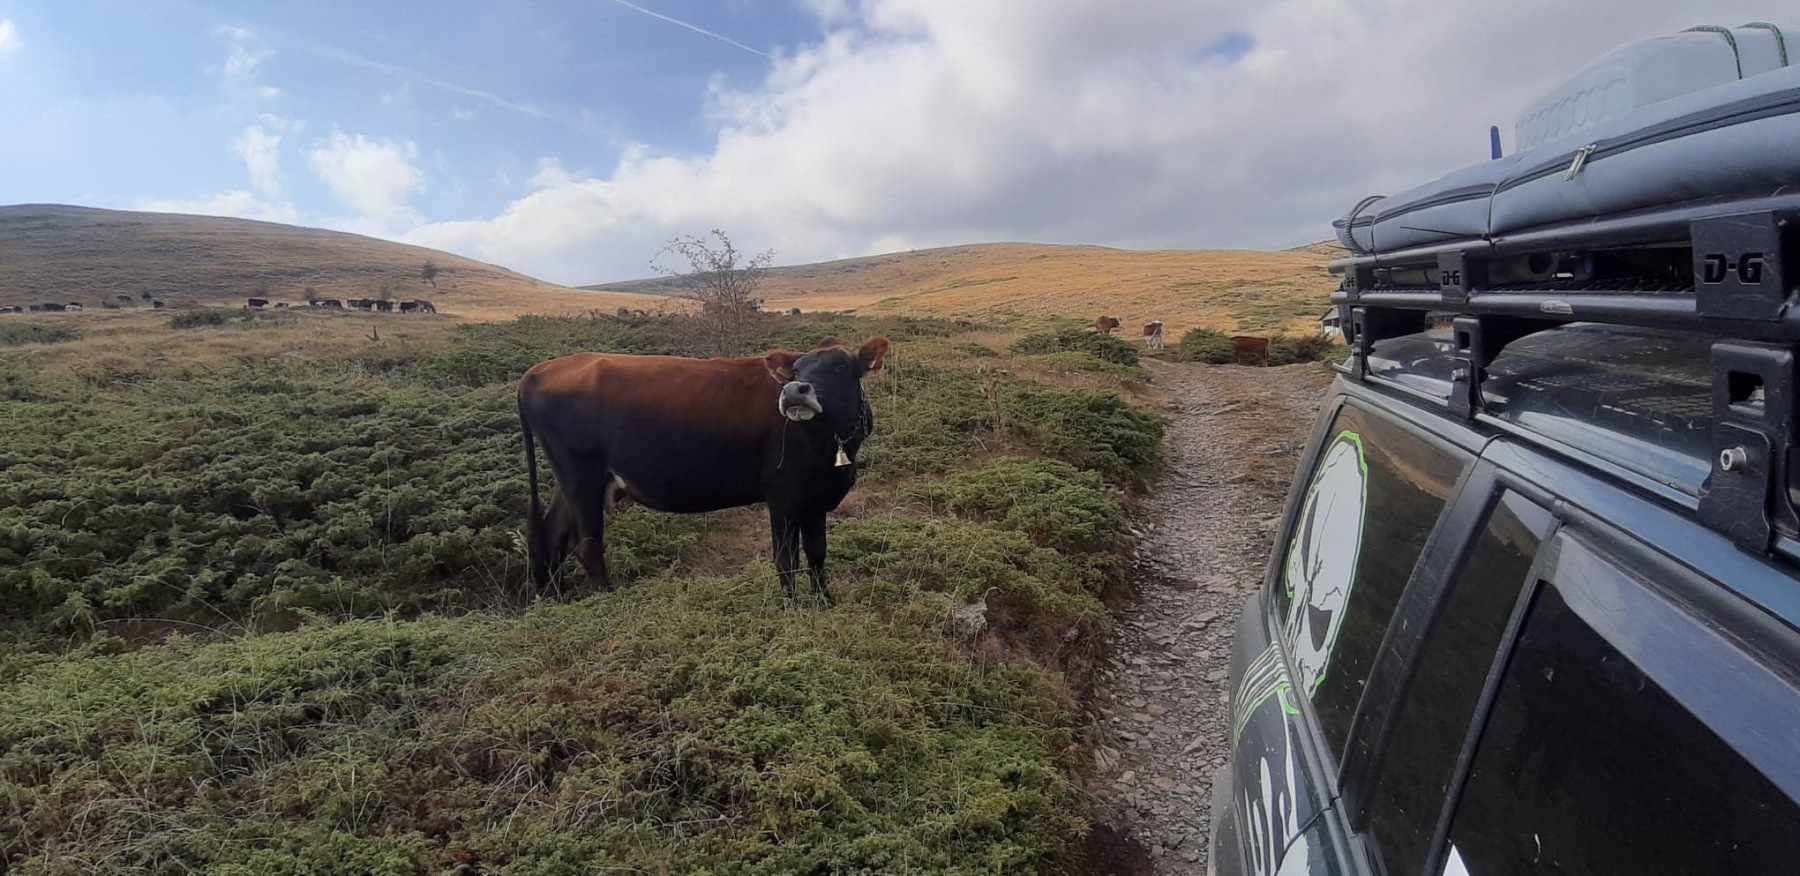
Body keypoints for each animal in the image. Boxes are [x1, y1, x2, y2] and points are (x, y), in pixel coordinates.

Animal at [518, 336, 889, 603]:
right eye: (795, 371)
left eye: (841, 366)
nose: (793, 391)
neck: (829, 448)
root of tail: (536, 371)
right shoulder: (782, 496)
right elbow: (786, 559)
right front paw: (792, 607)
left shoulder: (815, 498)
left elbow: (816, 554)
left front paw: (825, 603)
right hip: (581, 478)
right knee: (587, 545)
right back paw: (609, 601)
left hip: (573, 482)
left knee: (551, 537)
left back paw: (555, 601)